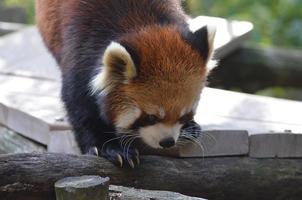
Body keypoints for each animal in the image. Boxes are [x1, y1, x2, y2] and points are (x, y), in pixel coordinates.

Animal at [36, 0, 215, 168]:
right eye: (151, 117)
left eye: (185, 115)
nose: (167, 142)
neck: (141, 24)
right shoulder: (80, 49)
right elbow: (80, 107)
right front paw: (108, 147)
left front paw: (191, 126)